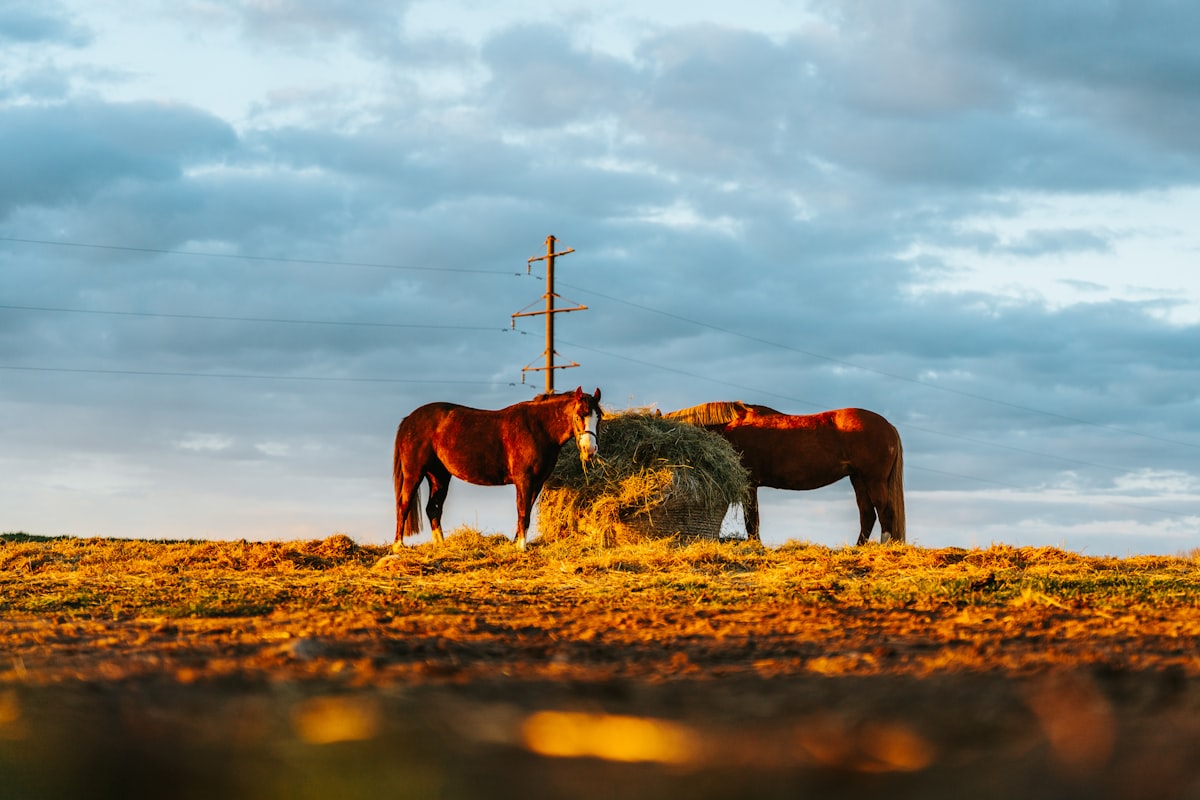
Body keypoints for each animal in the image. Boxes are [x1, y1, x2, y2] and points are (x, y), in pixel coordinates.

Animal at [393, 387, 602, 551]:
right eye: (579, 416)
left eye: (598, 418)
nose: (590, 450)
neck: (538, 428)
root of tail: (409, 420)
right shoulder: (524, 481)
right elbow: (522, 512)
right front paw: (521, 547)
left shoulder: (537, 483)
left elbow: (525, 512)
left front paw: (516, 543)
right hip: (414, 474)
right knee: (404, 505)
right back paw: (398, 546)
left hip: (439, 476)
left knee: (433, 509)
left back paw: (441, 545)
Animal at [665, 401, 905, 545]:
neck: (731, 426)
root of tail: (888, 426)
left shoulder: (750, 484)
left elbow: (751, 519)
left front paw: (756, 545)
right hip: (858, 479)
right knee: (867, 514)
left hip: (873, 480)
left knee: (884, 511)